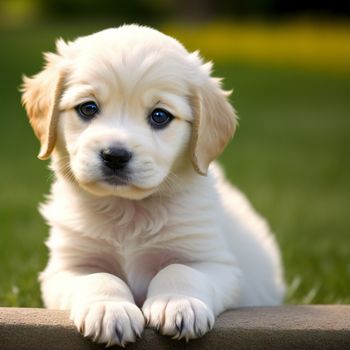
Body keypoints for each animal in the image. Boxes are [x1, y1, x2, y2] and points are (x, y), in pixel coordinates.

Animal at [21, 25, 284, 348]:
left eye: (160, 116)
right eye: (88, 108)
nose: (115, 155)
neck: (128, 210)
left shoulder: (217, 264)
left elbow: (180, 270)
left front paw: (179, 304)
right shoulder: (66, 268)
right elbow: (99, 278)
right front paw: (109, 310)